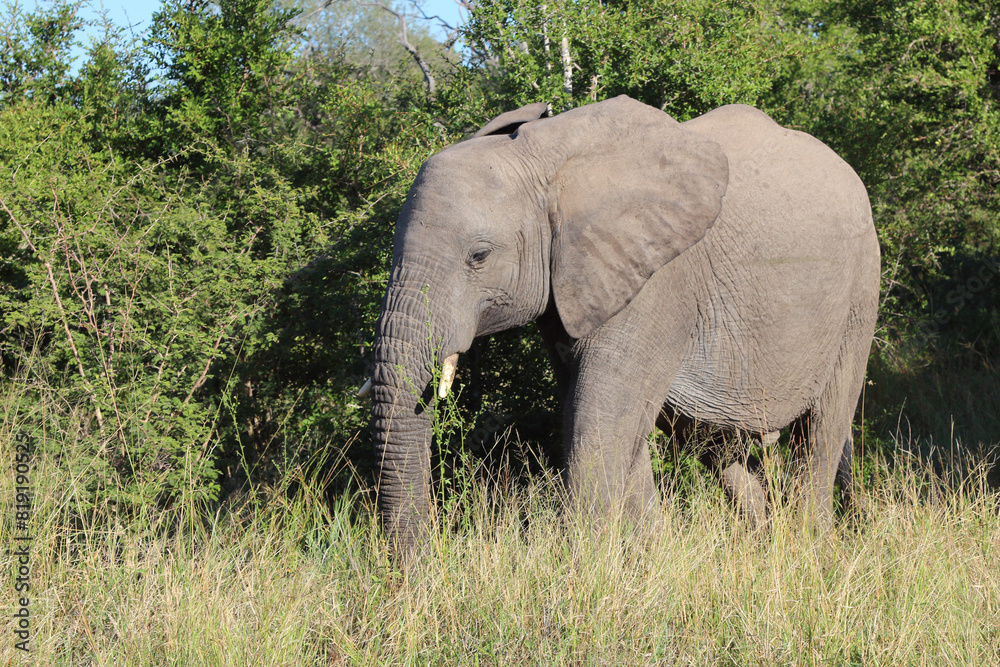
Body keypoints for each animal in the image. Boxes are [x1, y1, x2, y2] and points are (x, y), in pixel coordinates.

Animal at [364, 95, 880, 556]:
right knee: (721, 450)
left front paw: (587, 575)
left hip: (859, 293)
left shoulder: (657, 284)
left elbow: (599, 425)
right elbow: (605, 426)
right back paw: (764, 546)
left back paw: (809, 551)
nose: (417, 571)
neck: (547, 160)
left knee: (822, 431)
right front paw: (651, 561)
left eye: (479, 256)